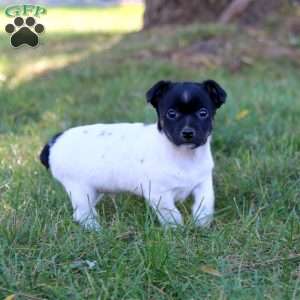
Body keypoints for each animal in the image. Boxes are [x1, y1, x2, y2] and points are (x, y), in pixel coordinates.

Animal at [40, 79, 227, 230]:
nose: (188, 133)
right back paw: (95, 229)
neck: (184, 157)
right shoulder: (159, 194)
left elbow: (206, 203)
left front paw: (201, 223)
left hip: (93, 190)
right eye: (171, 114)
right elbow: (171, 213)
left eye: (203, 113)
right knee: (82, 214)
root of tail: (53, 142)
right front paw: (176, 229)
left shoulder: (203, 183)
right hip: (80, 190)